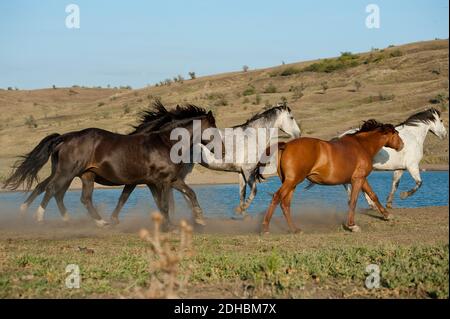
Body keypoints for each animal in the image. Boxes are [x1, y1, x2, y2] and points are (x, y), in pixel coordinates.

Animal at [3, 103, 218, 230]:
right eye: (214, 129)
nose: (218, 149)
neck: (165, 143)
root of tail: (64, 137)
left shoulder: (162, 180)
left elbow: (186, 194)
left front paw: (199, 219)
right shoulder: (162, 181)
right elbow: (163, 203)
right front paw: (170, 226)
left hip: (83, 175)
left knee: (77, 197)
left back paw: (97, 221)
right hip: (67, 172)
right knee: (51, 189)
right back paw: (39, 217)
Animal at [253, 119, 404, 234]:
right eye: (396, 133)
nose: (402, 145)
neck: (362, 146)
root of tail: (286, 145)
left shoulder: (362, 179)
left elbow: (373, 195)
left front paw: (387, 215)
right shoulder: (357, 179)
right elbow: (353, 201)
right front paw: (352, 225)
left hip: (291, 183)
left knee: (285, 204)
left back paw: (295, 229)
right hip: (292, 181)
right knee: (277, 197)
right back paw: (265, 228)